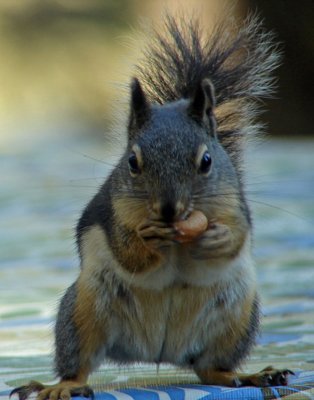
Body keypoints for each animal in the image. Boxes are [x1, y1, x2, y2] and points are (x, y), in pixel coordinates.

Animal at [11, 12, 292, 400]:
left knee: (211, 369)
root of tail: (157, 353)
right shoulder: (112, 212)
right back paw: (62, 386)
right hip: (81, 311)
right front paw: (147, 238)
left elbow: (236, 237)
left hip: (237, 318)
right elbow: (127, 251)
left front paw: (215, 238)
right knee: (79, 364)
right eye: (132, 162)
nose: (169, 210)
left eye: (206, 161)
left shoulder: (236, 206)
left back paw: (252, 375)